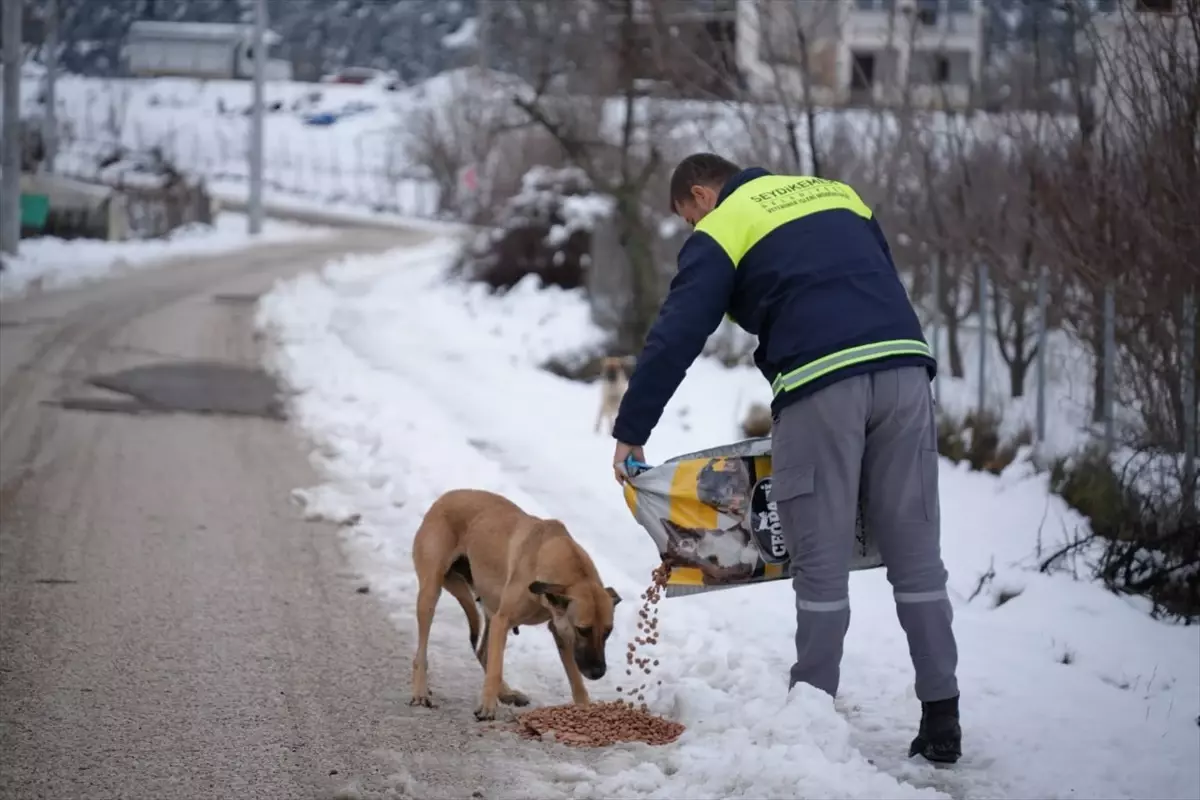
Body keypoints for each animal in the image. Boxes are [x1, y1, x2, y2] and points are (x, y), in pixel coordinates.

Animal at [410, 489, 624, 719]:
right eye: (584, 630)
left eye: (608, 631)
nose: (599, 672)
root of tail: (443, 498)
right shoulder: (504, 620)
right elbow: (495, 669)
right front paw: (487, 706)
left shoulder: (560, 630)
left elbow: (576, 679)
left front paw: (586, 709)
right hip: (431, 594)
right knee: (422, 653)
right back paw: (421, 692)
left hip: (490, 607)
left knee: (483, 652)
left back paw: (506, 693)